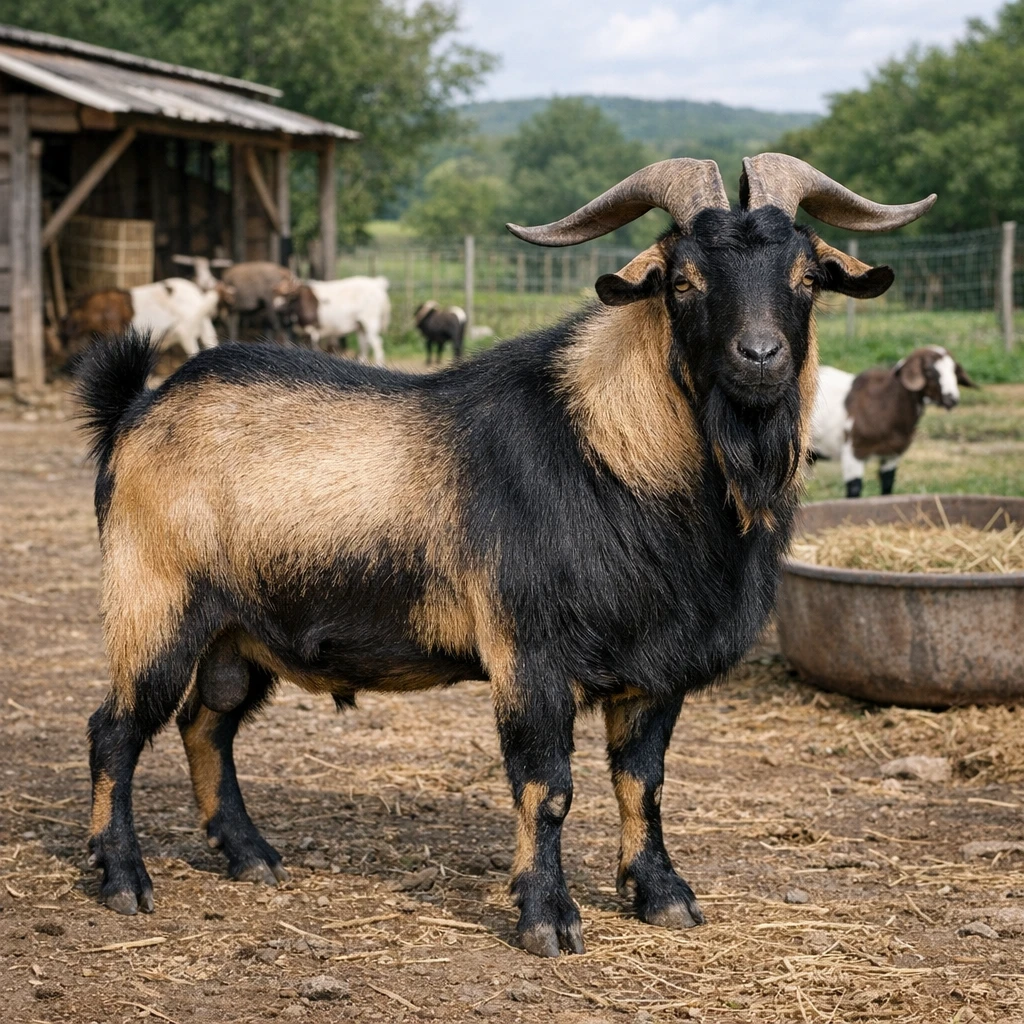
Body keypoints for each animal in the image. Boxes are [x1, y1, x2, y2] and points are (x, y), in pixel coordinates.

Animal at [77, 154, 933, 956]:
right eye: (683, 281)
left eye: (806, 279)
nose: (761, 357)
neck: (612, 449)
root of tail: (137, 409)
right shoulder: (530, 652)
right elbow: (546, 788)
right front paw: (547, 917)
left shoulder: (657, 666)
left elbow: (643, 783)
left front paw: (662, 895)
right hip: (156, 602)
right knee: (115, 730)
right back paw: (123, 879)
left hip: (238, 633)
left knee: (206, 724)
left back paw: (250, 855)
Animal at [811, 346, 975, 497]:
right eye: (928, 370)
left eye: (954, 371)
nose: (952, 399)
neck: (885, 401)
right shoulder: (854, 452)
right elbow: (855, 490)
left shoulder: (891, 455)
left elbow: (887, 488)